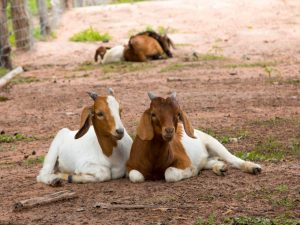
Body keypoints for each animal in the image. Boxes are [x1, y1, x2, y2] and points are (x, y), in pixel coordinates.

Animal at [125, 92, 262, 182]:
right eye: (153, 114)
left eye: (178, 114)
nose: (169, 131)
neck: (154, 161)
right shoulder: (130, 167)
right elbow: (136, 177)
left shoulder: (184, 161)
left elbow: (170, 173)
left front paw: (193, 171)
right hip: (206, 157)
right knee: (211, 161)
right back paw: (220, 168)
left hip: (212, 142)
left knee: (231, 158)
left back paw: (253, 168)